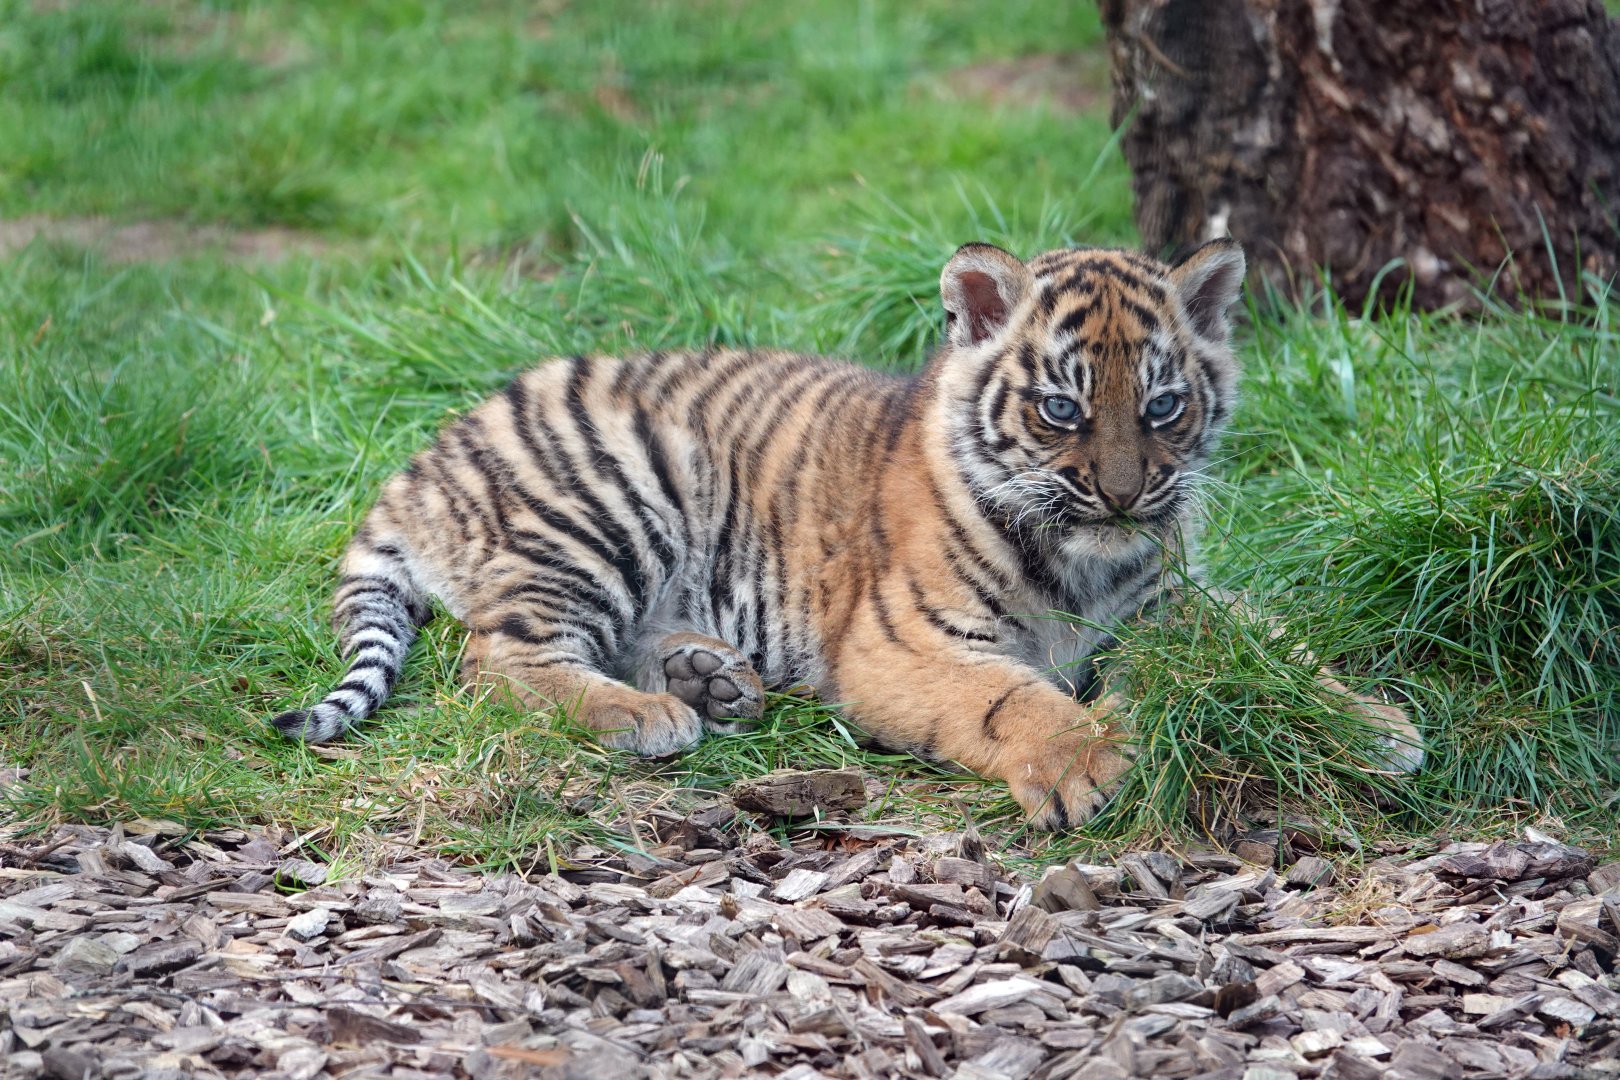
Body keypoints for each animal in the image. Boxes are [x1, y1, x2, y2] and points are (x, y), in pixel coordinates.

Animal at [271, 239, 1422, 829]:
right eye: (1061, 409)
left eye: (1164, 406)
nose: (1128, 498)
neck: (1085, 566)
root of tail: (431, 449)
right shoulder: (903, 641)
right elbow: (1011, 699)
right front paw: (1090, 761)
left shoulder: (1169, 599)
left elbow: (1270, 642)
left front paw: (1374, 724)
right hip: (617, 498)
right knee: (495, 657)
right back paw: (650, 713)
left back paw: (708, 677)